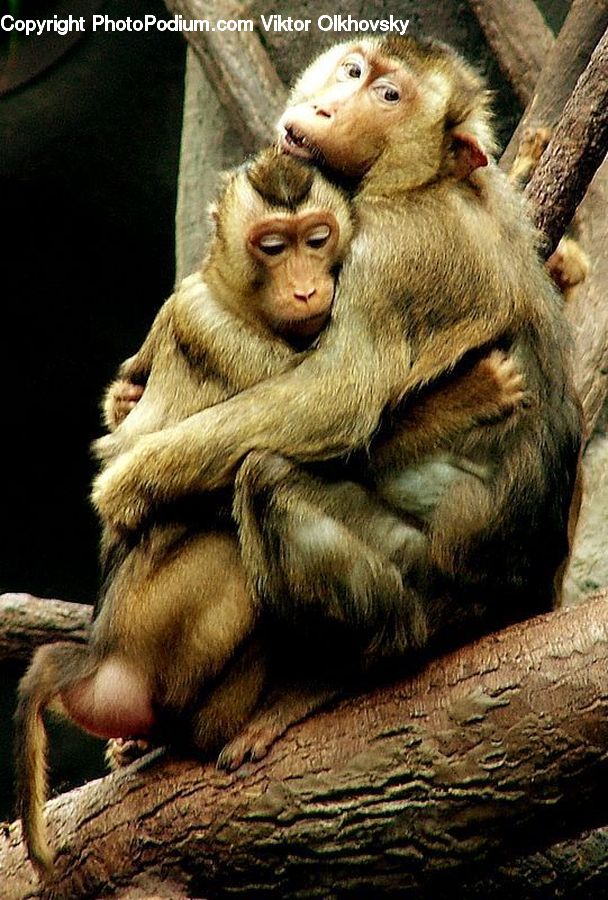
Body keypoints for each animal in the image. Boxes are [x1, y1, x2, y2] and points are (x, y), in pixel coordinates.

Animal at [89, 37, 582, 767]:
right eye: (353, 71)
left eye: (389, 96)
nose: (326, 106)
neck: (418, 183)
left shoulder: (391, 246)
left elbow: (336, 395)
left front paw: (128, 483)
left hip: (436, 594)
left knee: (266, 476)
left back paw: (340, 673)